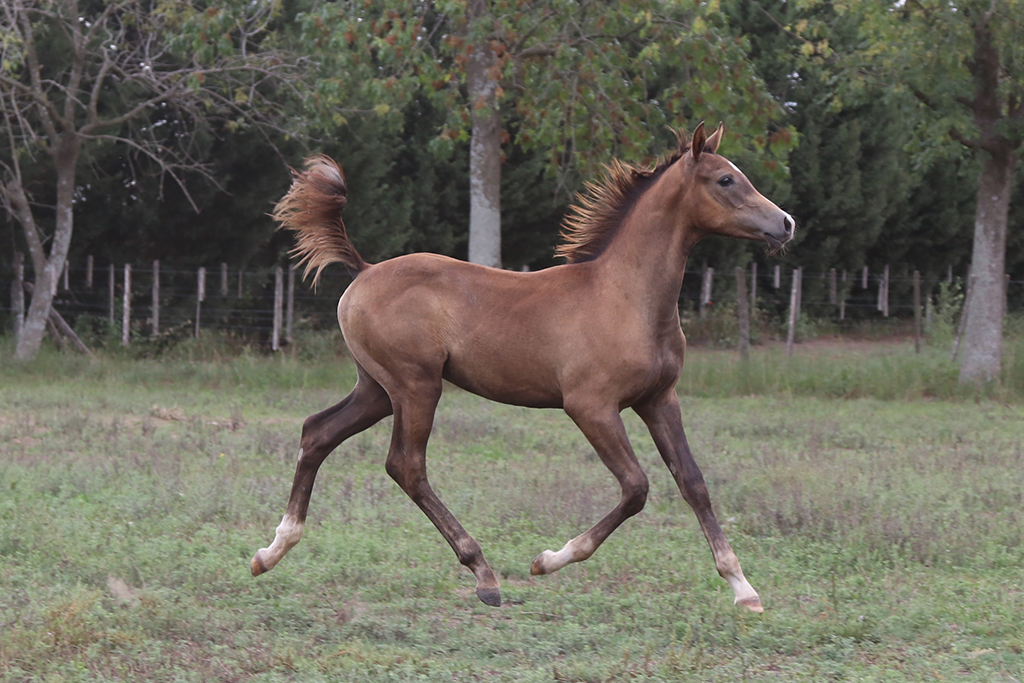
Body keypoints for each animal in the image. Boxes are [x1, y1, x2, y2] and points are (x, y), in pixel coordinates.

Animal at [250, 122, 794, 612]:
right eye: (725, 180)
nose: (785, 222)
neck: (625, 296)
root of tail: (362, 271)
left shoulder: (659, 399)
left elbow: (693, 482)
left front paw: (743, 588)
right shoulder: (590, 406)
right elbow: (636, 487)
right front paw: (548, 560)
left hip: (377, 390)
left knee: (317, 432)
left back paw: (270, 552)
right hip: (415, 386)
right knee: (405, 465)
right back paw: (484, 575)